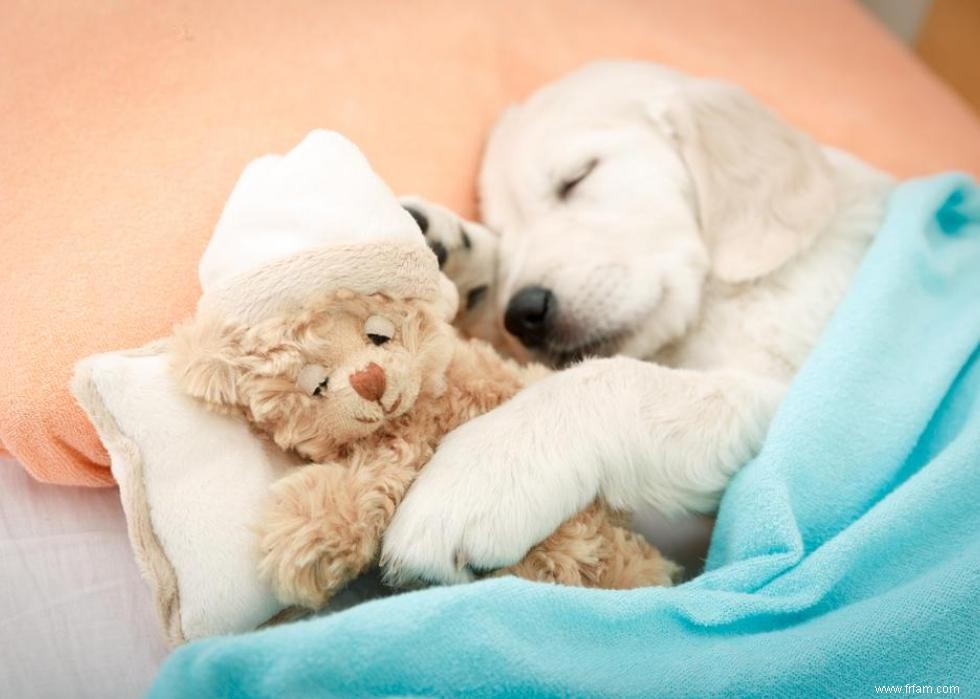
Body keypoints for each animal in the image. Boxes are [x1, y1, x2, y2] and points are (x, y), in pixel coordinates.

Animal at [380, 61, 896, 584]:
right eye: (504, 230)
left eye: (577, 178)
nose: (524, 314)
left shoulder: (791, 393)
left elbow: (614, 378)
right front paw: (448, 253)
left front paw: (480, 470)